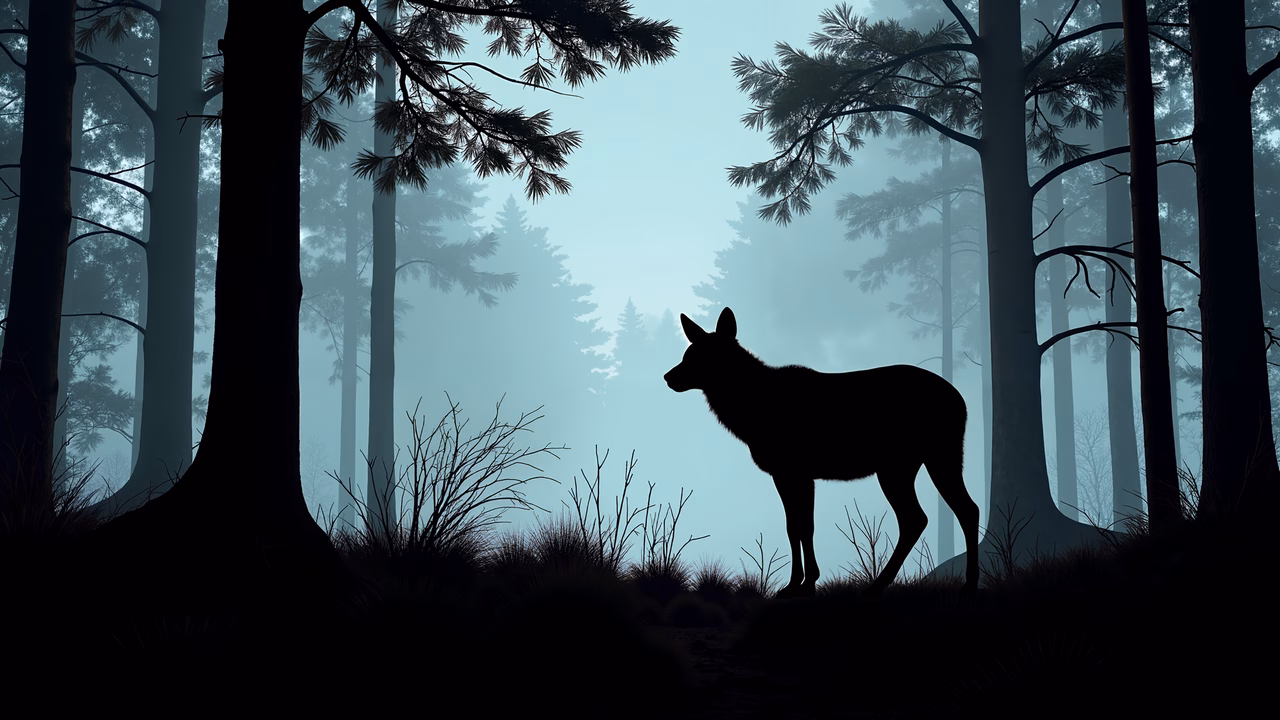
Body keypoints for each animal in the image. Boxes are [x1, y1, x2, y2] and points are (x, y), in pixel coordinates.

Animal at [664, 307, 979, 598]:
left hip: (918, 460)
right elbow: (801, 526)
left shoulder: (790, 471)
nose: (668, 376)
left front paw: (798, 584)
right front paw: (805, 582)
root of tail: (962, 402)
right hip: (913, 463)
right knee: (933, 515)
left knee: (941, 513)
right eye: (688, 353)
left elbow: (798, 526)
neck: (750, 417)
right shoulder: (799, 475)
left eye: (702, 356)